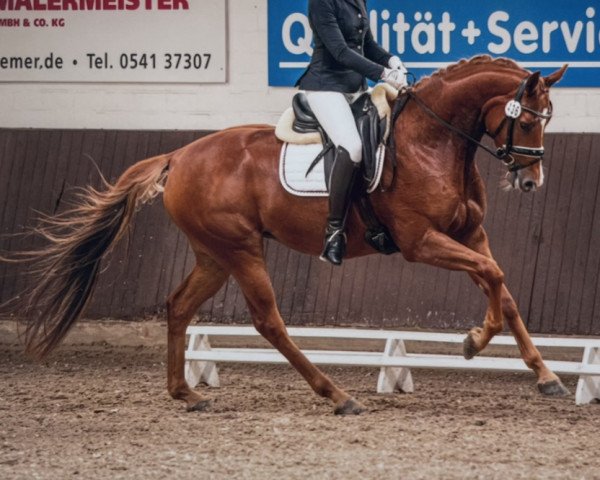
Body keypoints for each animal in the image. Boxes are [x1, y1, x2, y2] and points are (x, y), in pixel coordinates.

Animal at [12, 57, 568, 416]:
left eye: (547, 121)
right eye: (529, 122)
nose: (532, 181)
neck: (433, 141)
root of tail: (179, 155)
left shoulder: (470, 233)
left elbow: (504, 288)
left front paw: (546, 376)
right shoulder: (420, 241)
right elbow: (493, 276)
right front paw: (474, 341)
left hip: (214, 255)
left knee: (178, 306)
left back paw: (186, 394)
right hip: (241, 250)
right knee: (268, 321)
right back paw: (337, 395)